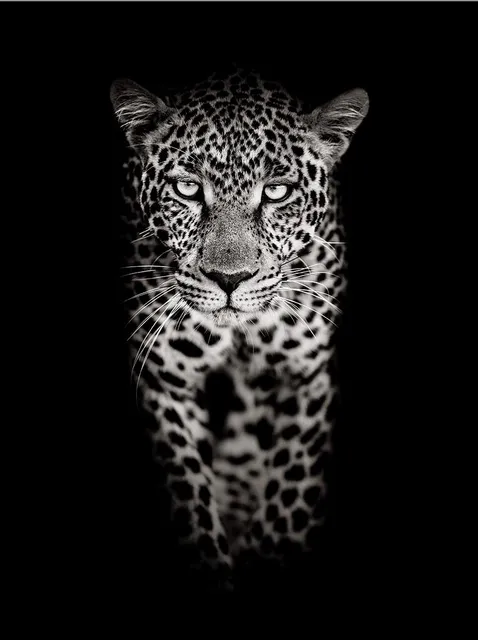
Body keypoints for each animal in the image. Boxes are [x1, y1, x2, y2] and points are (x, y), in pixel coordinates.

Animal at [110, 68, 369, 593]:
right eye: (188, 189)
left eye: (277, 192)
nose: (230, 279)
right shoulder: (166, 382)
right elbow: (188, 494)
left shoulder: (304, 377)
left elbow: (290, 493)